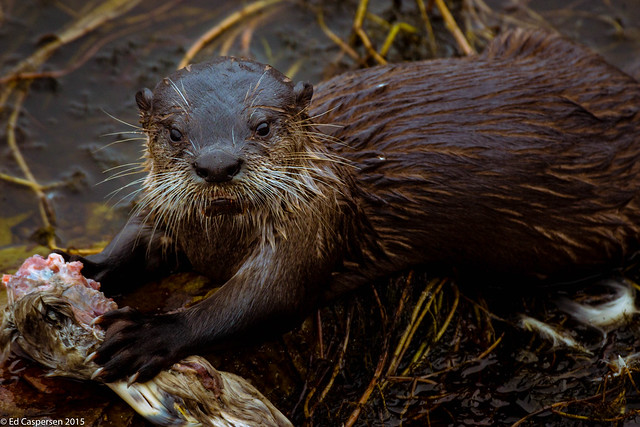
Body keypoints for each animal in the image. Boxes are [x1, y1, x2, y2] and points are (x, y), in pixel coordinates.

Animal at [61, 30, 640, 384]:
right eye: (176, 133)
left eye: (262, 126)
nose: (218, 165)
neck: (218, 244)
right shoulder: (167, 212)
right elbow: (138, 236)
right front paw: (85, 265)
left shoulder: (315, 228)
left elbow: (261, 301)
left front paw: (153, 333)